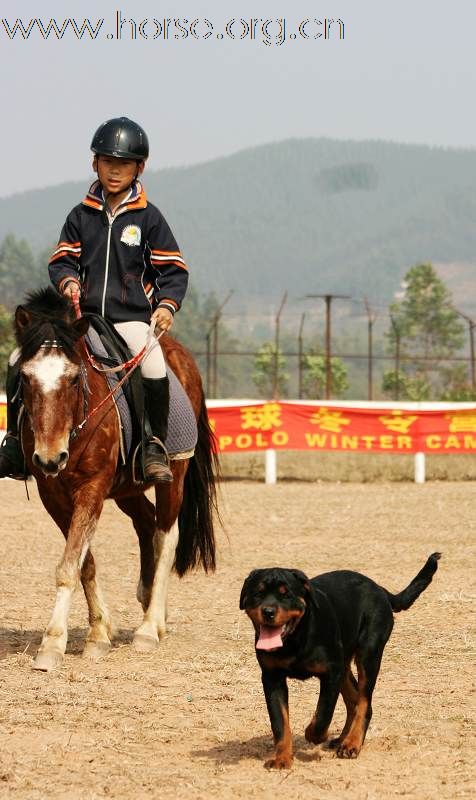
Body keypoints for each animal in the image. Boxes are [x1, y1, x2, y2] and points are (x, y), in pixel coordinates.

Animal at [13, 284, 218, 672]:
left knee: (166, 535)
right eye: (26, 378)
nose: (50, 458)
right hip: (127, 490)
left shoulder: (91, 488)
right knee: (147, 524)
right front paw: (98, 633)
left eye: (73, 378)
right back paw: (151, 605)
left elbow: (70, 565)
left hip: (174, 477)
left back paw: (149, 628)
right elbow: (83, 564)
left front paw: (53, 643)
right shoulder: (53, 495)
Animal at [240, 556, 440, 768]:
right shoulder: (272, 678)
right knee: (353, 701)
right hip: (345, 665)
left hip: (368, 656)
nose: (268, 611)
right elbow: (279, 721)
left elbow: (323, 714)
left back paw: (351, 744)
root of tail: (380, 589)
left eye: (286, 595)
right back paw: (343, 739)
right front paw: (282, 758)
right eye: (258, 593)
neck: (296, 639)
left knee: (364, 703)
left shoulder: (331, 673)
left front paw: (313, 734)